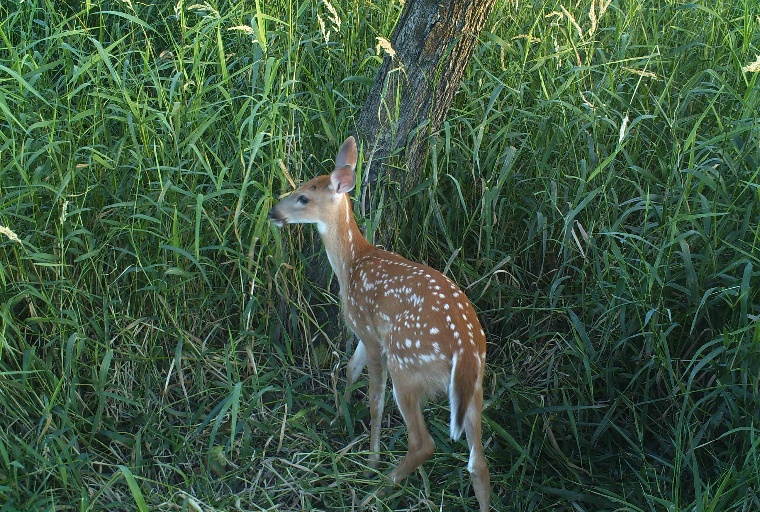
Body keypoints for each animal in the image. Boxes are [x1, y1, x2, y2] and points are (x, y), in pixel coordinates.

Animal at [270, 137, 490, 512]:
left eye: (303, 198)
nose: (274, 213)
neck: (353, 262)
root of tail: (465, 348)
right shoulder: (364, 329)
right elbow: (349, 368)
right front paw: (338, 415)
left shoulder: (371, 332)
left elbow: (374, 397)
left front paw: (370, 459)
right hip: (473, 385)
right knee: (479, 463)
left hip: (407, 363)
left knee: (423, 443)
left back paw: (375, 490)